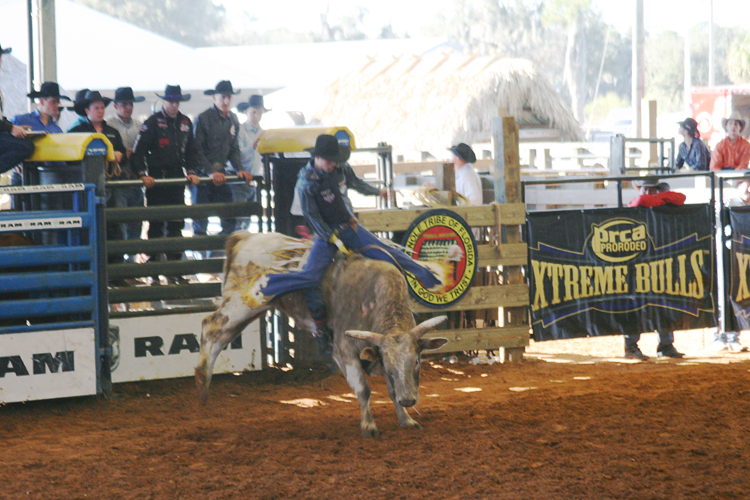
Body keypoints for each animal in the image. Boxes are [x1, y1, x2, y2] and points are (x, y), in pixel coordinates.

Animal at [197, 232, 450, 436]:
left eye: (417, 360)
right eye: (389, 362)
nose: (409, 399)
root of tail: (244, 237)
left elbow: (391, 388)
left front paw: (406, 419)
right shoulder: (344, 351)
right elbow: (364, 389)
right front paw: (368, 426)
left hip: (251, 310)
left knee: (220, 338)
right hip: (241, 304)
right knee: (210, 328)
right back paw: (201, 386)